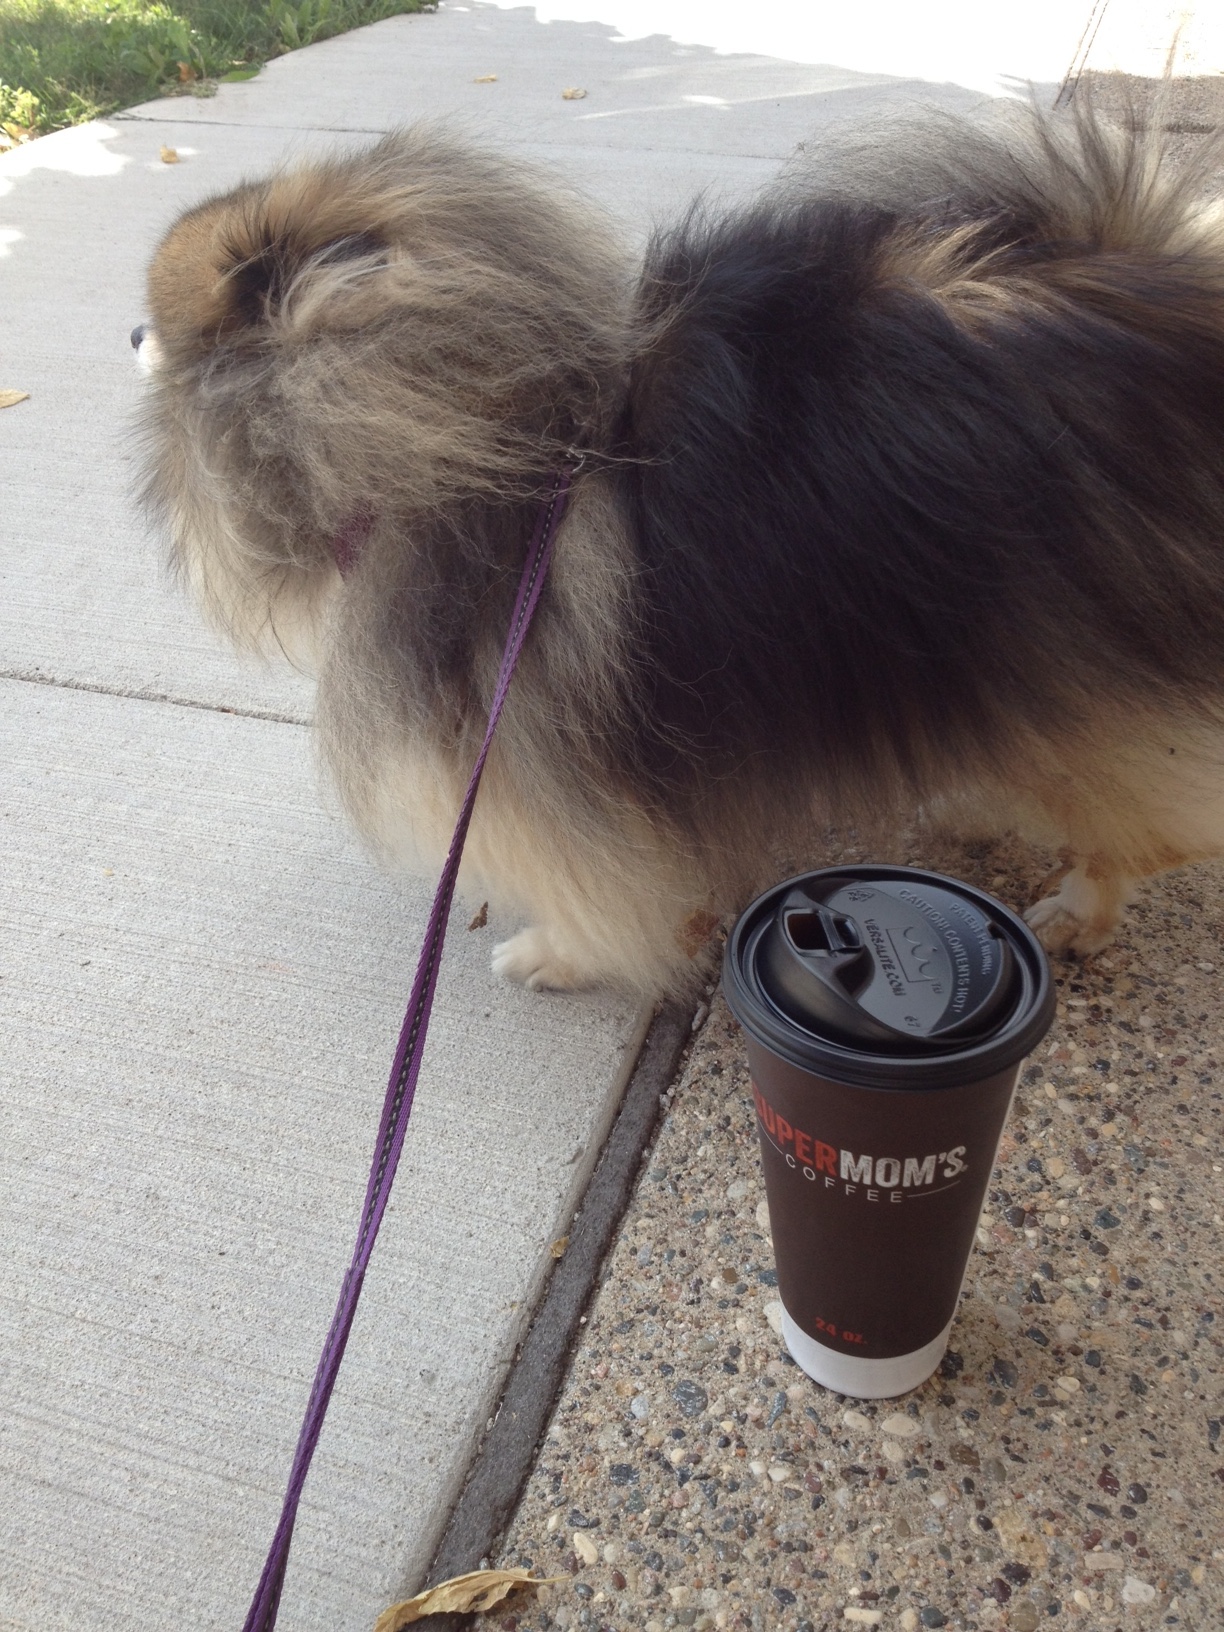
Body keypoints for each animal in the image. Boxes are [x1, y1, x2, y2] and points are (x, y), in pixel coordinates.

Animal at [138, 105, 1224, 992]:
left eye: (161, 318)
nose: (130, 338)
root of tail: (1153, 283)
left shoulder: (536, 765)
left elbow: (598, 894)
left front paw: (556, 956)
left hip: (1070, 640)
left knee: (1150, 822)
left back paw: (1079, 904)